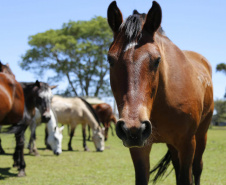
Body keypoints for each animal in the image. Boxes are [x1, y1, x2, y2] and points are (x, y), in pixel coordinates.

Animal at [107, 1, 214, 185]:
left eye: (157, 60)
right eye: (110, 59)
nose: (133, 128)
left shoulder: (187, 144)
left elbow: (187, 177)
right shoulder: (140, 148)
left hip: (202, 135)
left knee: (198, 168)